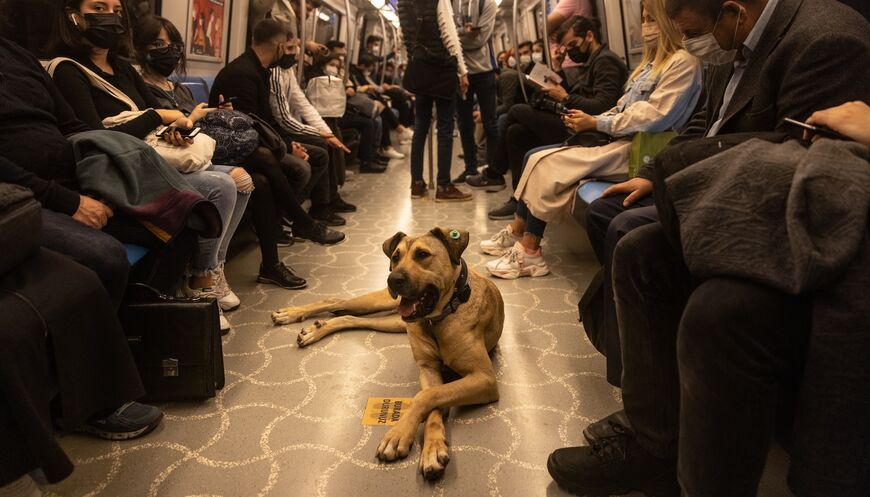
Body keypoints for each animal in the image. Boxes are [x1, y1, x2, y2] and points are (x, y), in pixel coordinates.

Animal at [270, 228, 504, 476]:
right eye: (395, 257)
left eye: (423, 254)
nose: (394, 279)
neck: (438, 318)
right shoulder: (428, 369)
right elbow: (428, 397)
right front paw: (406, 436)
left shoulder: (484, 378)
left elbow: (429, 397)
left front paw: (420, 444)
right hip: (380, 303)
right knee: (336, 301)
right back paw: (292, 314)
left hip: (393, 321)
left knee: (349, 317)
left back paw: (317, 328)